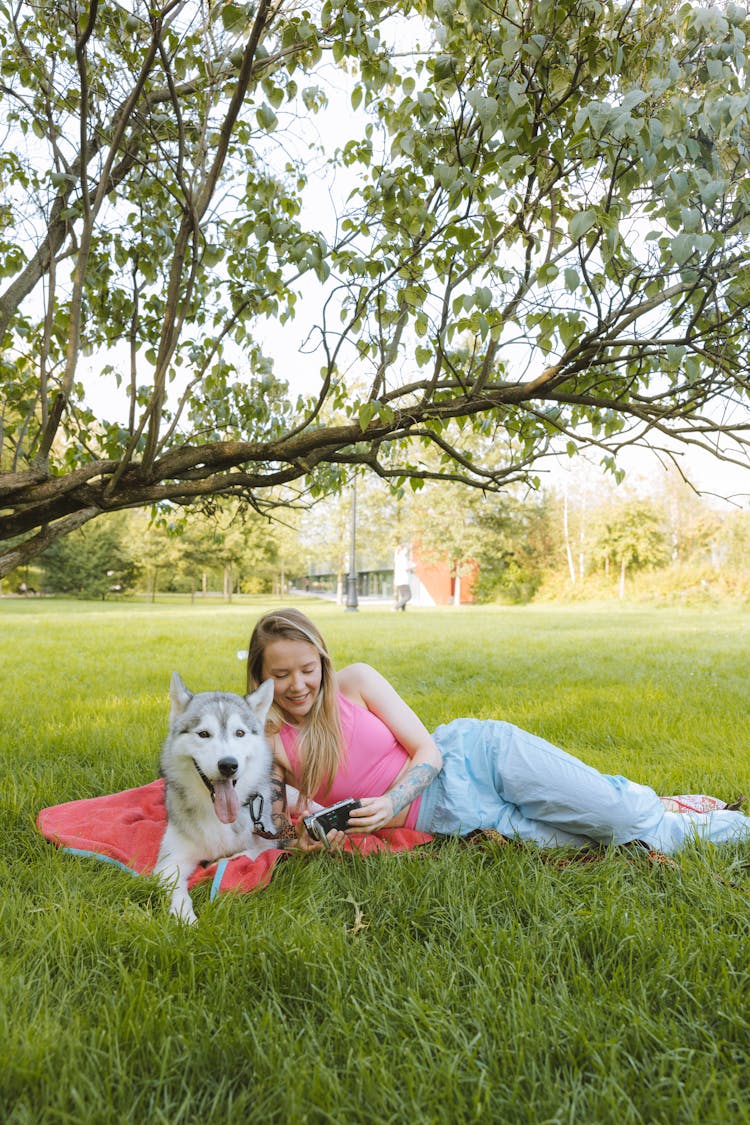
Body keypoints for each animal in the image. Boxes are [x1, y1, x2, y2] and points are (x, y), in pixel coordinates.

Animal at [154, 666, 277, 922]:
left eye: (239, 733)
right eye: (203, 734)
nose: (228, 765)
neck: (216, 815)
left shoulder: (268, 842)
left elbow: (244, 855)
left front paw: (218, 862)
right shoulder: (171, 860)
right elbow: (176, 887)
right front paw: (185, 918)